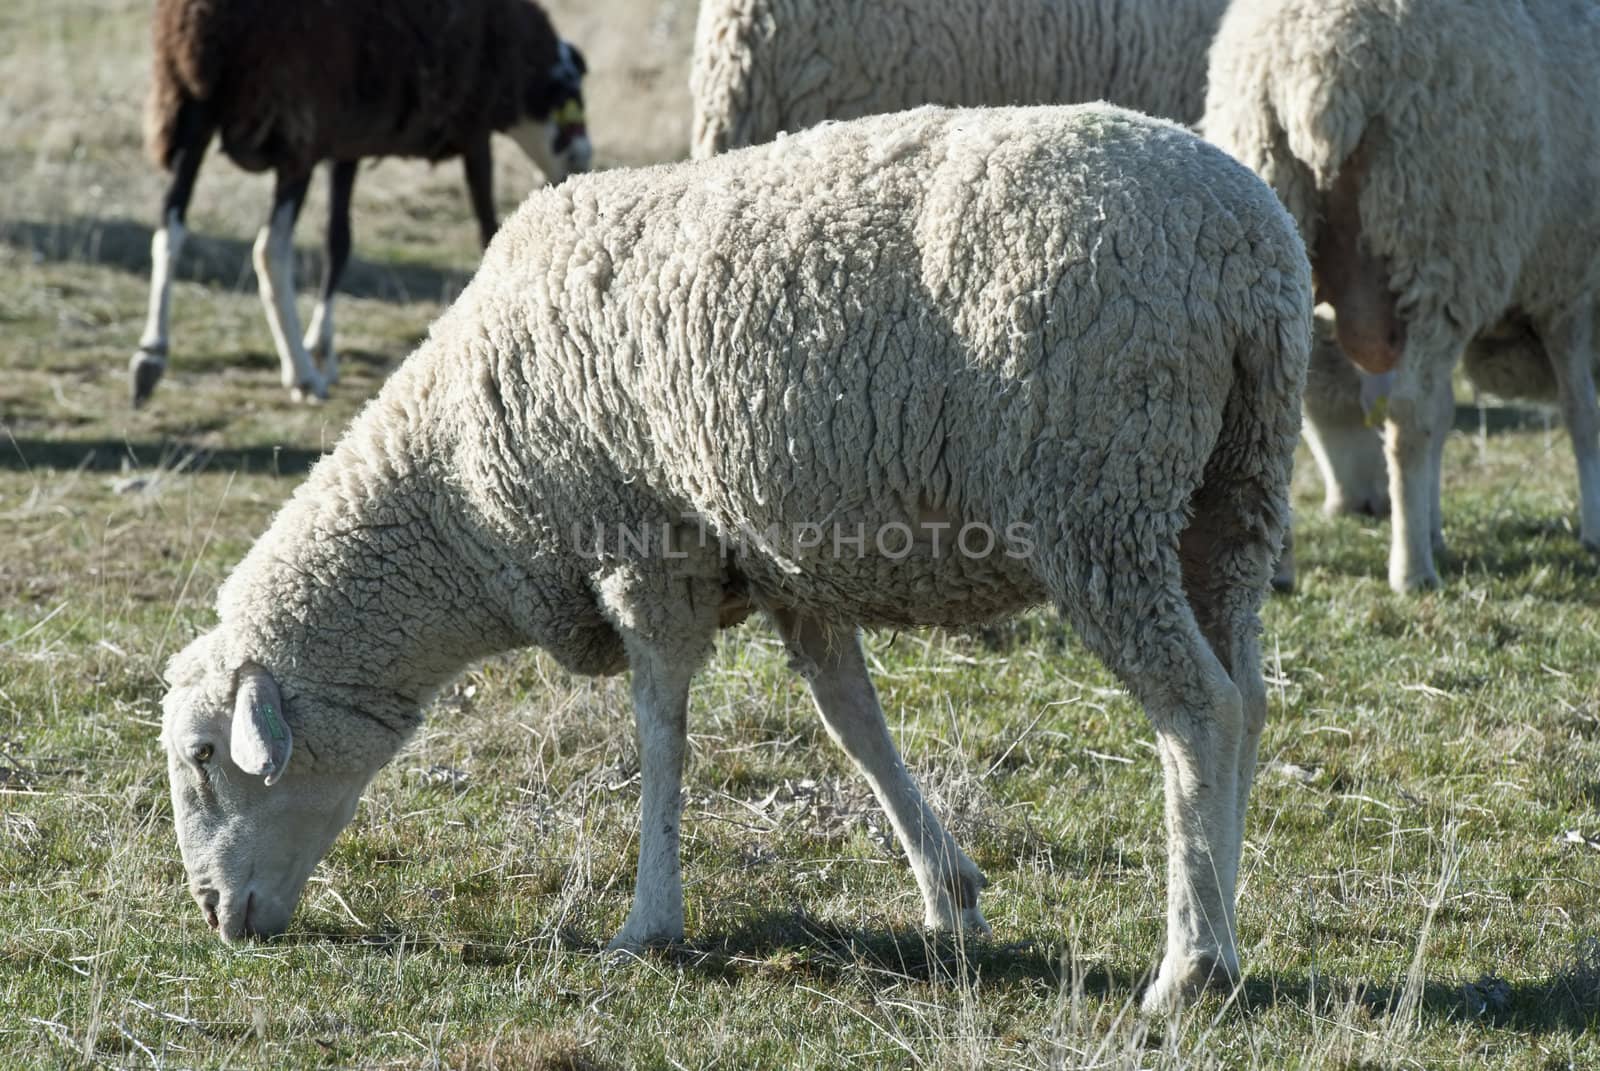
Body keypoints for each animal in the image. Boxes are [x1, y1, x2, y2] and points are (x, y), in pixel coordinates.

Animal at [132, 0, 595, 405]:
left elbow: (339, 243)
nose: (585, 158)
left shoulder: (347, 142)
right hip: (292, 125)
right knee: (269, 250)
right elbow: (487, 228)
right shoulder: (473, 130)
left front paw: (322, 344)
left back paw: (151, 355)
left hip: (189, 107)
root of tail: (208, 22)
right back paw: (301, 375)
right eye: (573, 96)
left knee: (170, 227)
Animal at [159, 104, 1312, 1018]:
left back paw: (1192, 964)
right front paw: (947, 893)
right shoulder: (786, 560)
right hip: (1230, 497)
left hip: (1100, 499)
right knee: (1248, 699)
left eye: (205, 757)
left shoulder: (642, 543)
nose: (216, 917)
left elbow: (660, 727)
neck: (459, 490)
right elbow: (852, 723)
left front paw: (649, 920)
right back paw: (1227, 924)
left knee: (1197, 710)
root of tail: (1246, 245)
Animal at [1203, 0, 1600, 589]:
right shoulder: (1567, 285)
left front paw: (1435, 526)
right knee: (1409, 417)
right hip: (1438, 238)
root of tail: (1318, 67)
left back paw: (1279, 571)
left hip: (1275, 196)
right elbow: (1582, 413)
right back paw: (1411, 571)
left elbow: (1449, 413)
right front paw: (1595, 527)